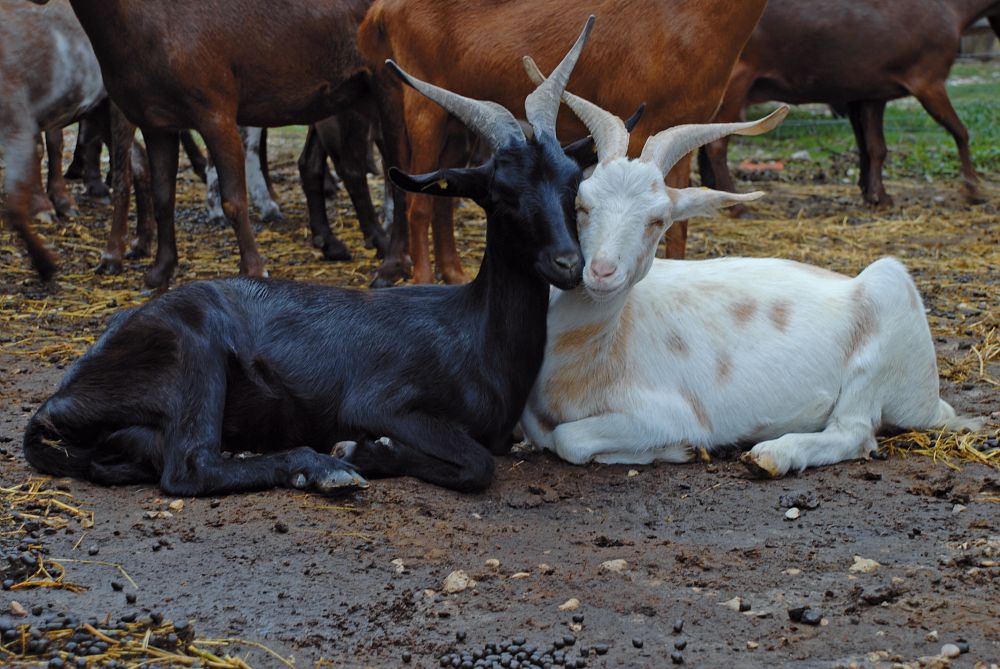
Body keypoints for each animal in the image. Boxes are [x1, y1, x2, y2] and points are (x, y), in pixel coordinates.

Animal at [23, 18, 596, 496]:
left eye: (573, 183)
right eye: (501, 194)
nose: (569, 264)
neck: (474, 334)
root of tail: (59, 400)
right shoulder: (380, 400)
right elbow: (478, 463)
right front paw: (361, 450)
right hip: (194, 353)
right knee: (189, 467)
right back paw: (323, 469)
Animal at [520, 57, 980, 474]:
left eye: (658, 220)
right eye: (581, 203)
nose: (600, 272)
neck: (598, 351)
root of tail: (931, 397)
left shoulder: (667, 413)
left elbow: (569, 438)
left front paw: (680, 450)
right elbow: (543, 432)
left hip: (883, 319)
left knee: (854, 433)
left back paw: (772, 455)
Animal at [700, 0, 1000, 211]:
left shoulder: (868, 92)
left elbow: (871, 146)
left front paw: (874, 194)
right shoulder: (928, 81)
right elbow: (959, 130)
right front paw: (972, 189)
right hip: (737, 79)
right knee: (716, 145)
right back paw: (737, 207)